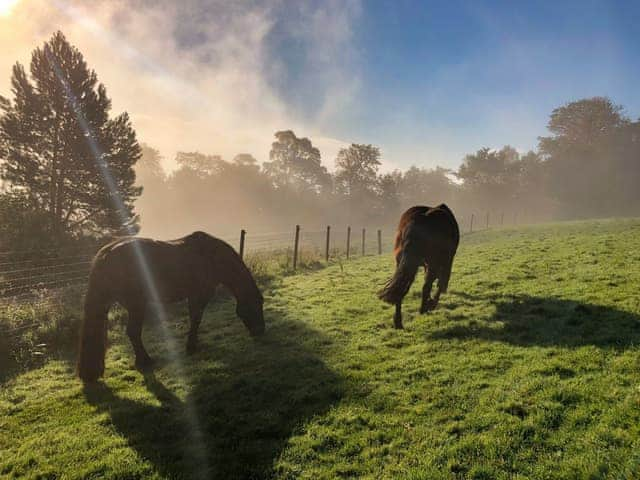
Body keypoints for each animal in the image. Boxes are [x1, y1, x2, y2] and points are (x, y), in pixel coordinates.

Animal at [77, 231, 262, 384]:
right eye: (257, 306)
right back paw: (145, 361)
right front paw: (191, 346)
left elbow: (195, 319)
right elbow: (196, 319)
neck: (211, 258)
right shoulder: (199, 295)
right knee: (133, 332)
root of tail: (107, 254)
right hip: (137, 305)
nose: (260, 332)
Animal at [378, 202, 458, 330]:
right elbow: (439, 283)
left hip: (404, 264)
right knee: (426, 286)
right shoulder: (446, 260)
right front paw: (432, 303)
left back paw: (398, 322)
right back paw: (424, 308)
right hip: (432, 262)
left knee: (401, 288)